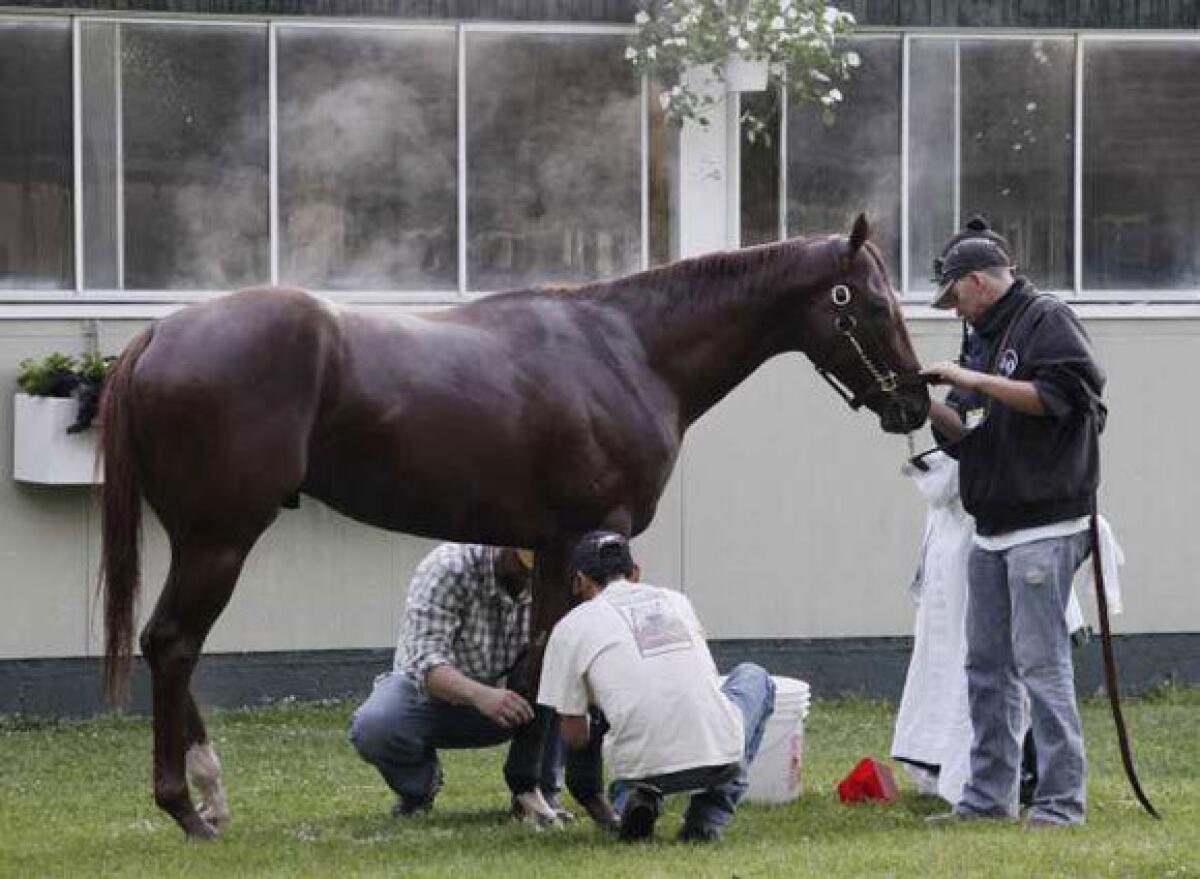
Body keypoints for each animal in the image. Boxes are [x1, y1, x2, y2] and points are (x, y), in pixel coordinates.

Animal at [100, 212, 926, 835]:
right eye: (871, 304)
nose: (914, 402)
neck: (628, 349)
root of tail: (159, 336)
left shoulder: (549, 547)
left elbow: (538, 665)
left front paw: (535, 794)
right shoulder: (588, 533)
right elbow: (561, 671)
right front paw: (576, 800)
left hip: (200, 539)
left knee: (167, 645)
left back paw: (209, 794)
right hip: (220, 539)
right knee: (173, 644)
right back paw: (187, 808)